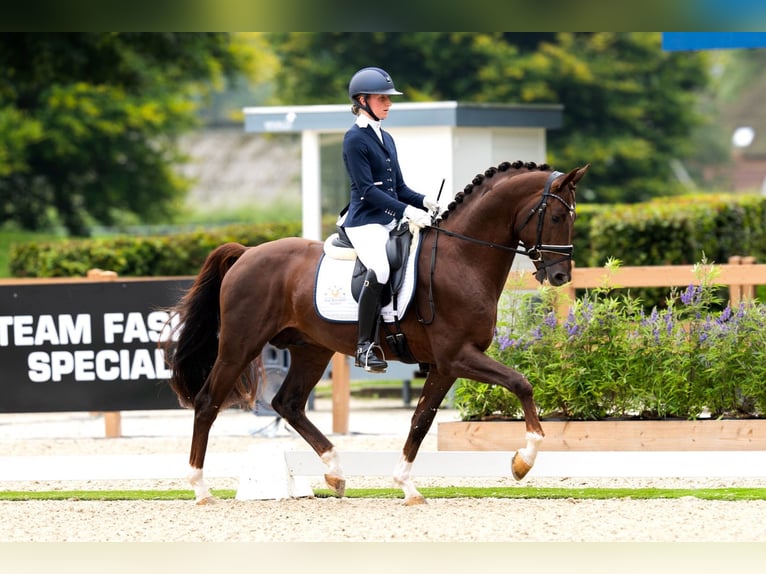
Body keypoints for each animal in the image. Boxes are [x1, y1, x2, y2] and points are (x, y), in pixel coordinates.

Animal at [166, 160, 588, 506]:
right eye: (554, 216)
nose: (560, 276)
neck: (461, 259)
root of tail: (247, 252)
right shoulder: (458, 356)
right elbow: (521, 383)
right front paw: (523, 460)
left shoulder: (445, 366)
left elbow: (421, 420)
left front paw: (407, 485)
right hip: (239, 346)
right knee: (208, 403)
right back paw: (201, 488)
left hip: (311, 350)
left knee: (288, 403)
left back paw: (335, 472)